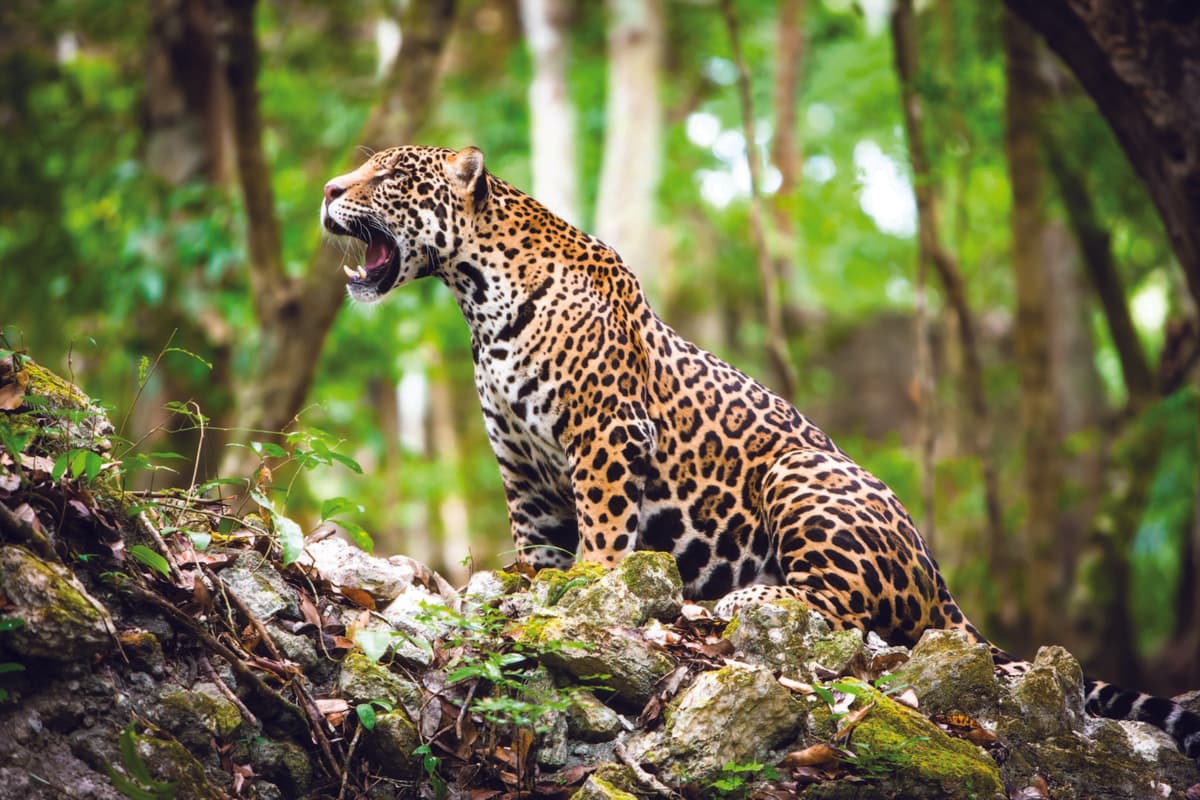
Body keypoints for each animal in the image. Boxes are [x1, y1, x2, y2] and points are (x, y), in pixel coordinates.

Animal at [321, 144, 1200, 765]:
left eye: (389, 173)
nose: (330, 190)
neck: (477, 295)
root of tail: (944, 586)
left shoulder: (604, 436)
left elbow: (603, 535)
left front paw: (589, 591)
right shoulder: (522, 467)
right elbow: (536, 547)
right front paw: (532, 588)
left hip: (802, 476)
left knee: (848, 618)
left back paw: (741, 600)